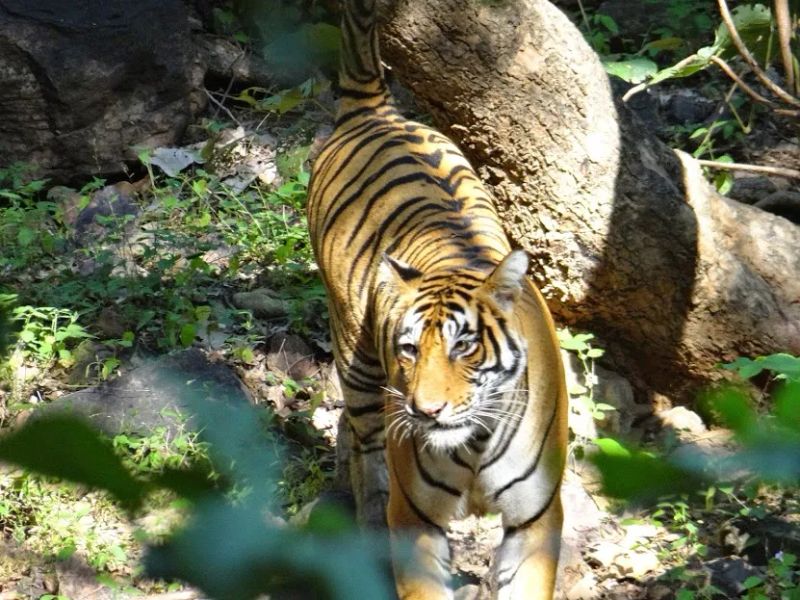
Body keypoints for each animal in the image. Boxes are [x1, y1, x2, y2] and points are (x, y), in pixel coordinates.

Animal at [306, 0, 568, 598]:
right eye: (408, 350)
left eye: (464, 347)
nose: (426, 411)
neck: (473, 447)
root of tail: (374, 111)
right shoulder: (416, 520)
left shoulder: (536, 521)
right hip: (354, 359)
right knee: (365, 450)